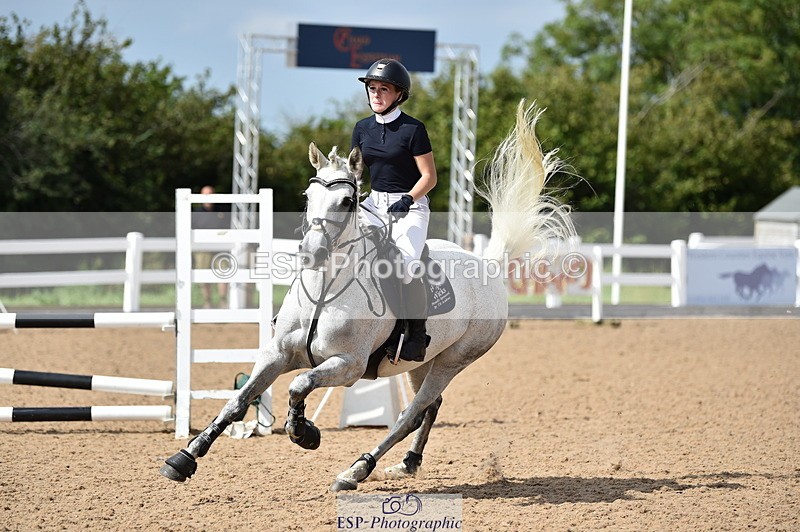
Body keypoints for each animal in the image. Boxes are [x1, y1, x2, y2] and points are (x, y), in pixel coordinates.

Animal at [159, 100, 576, 492]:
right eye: (308, 195)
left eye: (346, 202)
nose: (310, 253)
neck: (324, 291)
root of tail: (488, 267)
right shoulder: (277, 354)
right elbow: (239, 401)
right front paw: (184, 458)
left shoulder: (349, 366)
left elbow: (299, 385)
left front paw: (304, 432)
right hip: (422, 361)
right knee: (429, 407)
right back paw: (407, 464)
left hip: (453, 360)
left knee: (410, 414)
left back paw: (356, 470)